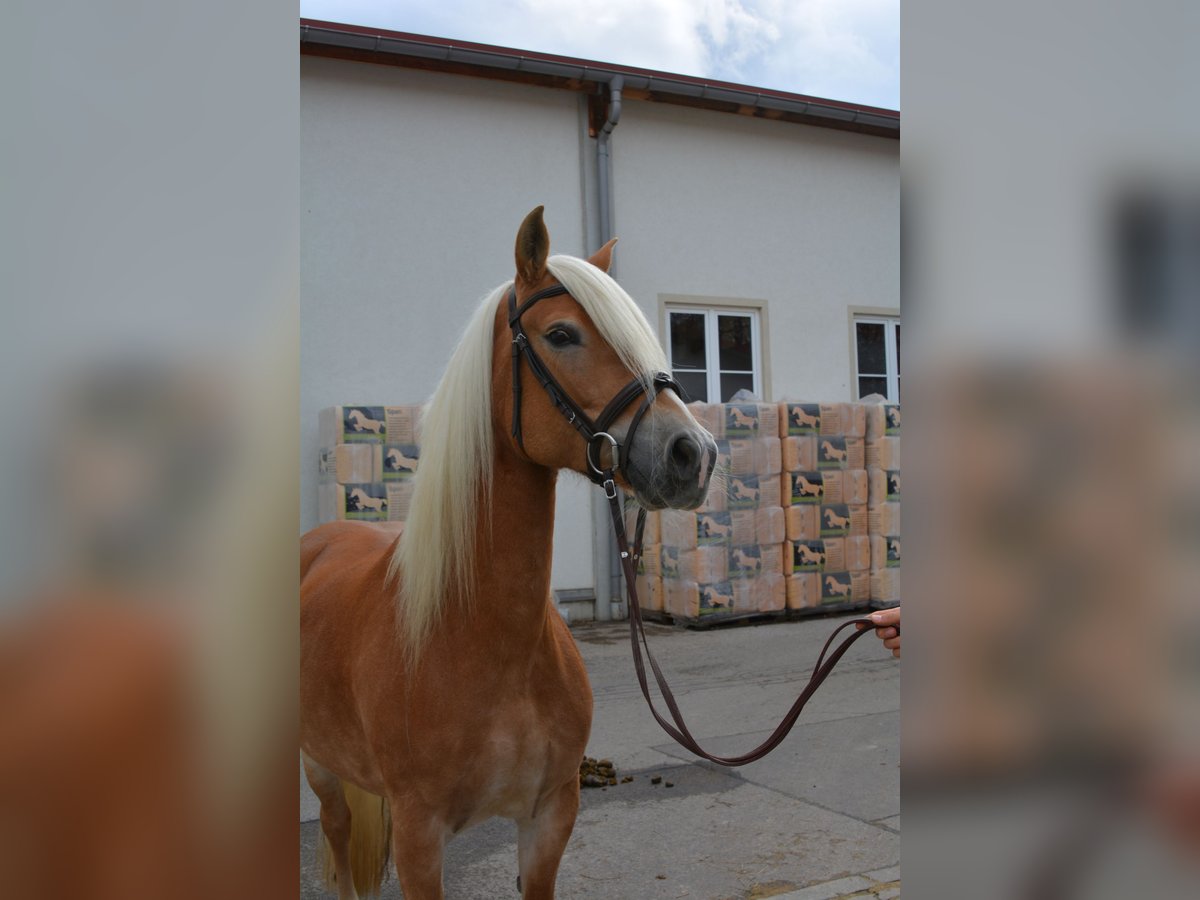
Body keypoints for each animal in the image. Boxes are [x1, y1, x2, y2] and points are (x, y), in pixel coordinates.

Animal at [298, 206, 715, 900]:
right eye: (561, 334)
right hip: (319, 765)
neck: (482, 640)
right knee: (334, 830)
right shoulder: (419, 837)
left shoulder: (550, 816)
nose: (694, 454)